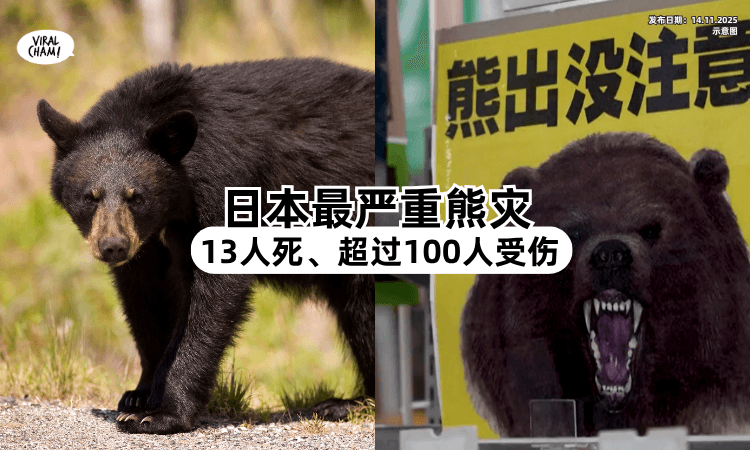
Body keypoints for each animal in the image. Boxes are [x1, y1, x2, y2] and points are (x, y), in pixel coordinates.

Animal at [36, 58, 374, 434]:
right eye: (89, 197)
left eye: (137, 196)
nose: (113, 247)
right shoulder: (146, 241)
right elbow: (145, 295)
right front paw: (139, 395)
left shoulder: (224, 183)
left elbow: (214, 291)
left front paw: (162, 413)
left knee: (366, 312)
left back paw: (347, 403)